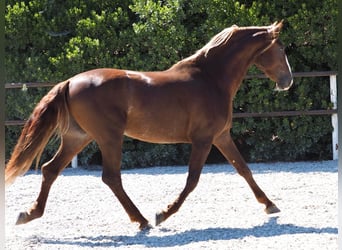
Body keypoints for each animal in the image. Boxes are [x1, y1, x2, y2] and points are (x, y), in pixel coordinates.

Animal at [6, 22, 292, 230]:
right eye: (281, 48)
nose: (287, 80)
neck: (211, 78)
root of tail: (70, 82)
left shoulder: (221, 136)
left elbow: (243, 169)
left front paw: (270, 205)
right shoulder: (203, 140)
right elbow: (192, 179)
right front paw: (163, 213)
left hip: (79, 137)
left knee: (50, 170)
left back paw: (28, 214)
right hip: (109, 137)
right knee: (111, 177)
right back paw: (142, 220)